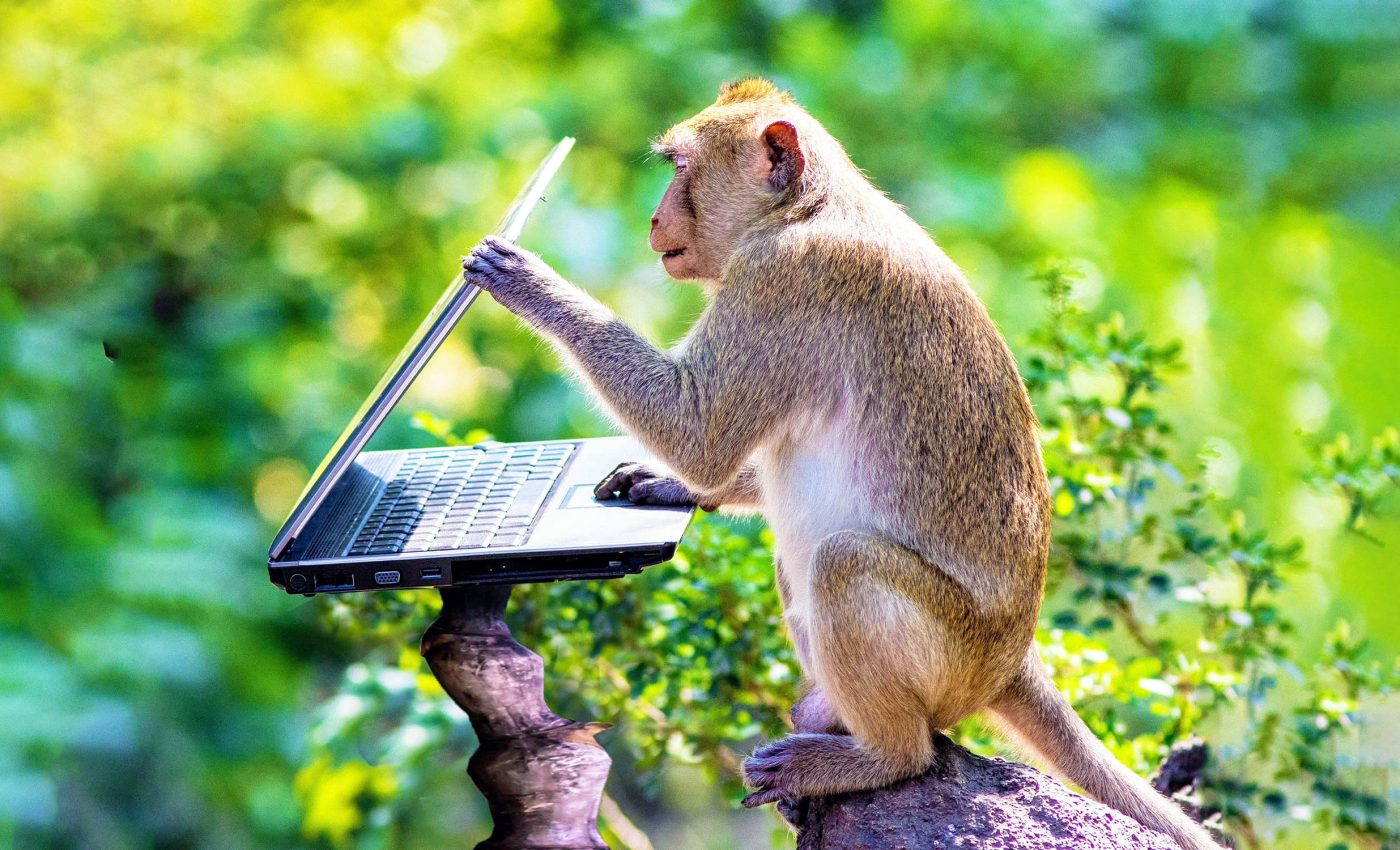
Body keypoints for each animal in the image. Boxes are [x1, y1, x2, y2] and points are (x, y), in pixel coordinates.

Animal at [463, 78, 1223, 850]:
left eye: (679, 167)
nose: (653, 218)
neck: (810, 206)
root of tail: (1014, 660)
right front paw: (667, 484)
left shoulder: (783, 278)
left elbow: (699, 430)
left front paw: (526, 283)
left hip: (954, 657)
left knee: (844, 564)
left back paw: (878, 756)